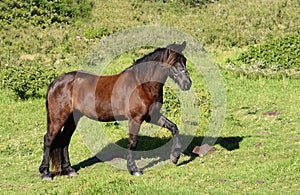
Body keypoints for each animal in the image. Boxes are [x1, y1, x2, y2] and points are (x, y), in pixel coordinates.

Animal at [38, 40, 191, 180]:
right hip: (58, 118)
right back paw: (45, 173)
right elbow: (133, 143)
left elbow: (173, 127)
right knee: (49, 139)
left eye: (184, 60)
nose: (187, 84)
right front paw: (134, 169)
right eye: (173, 63)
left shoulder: (152, 116)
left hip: (72, 119)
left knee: (65, 140)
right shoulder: (135, 119)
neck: (142, 84)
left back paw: (70, 170)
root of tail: (55, 83)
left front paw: (175, 157)